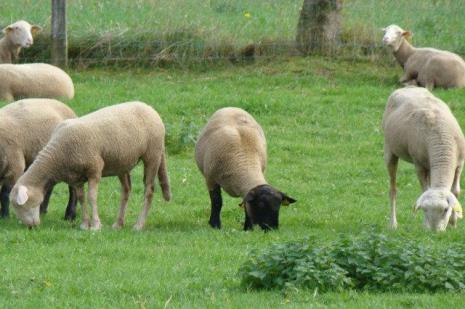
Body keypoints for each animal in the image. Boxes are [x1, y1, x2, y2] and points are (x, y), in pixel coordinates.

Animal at [8, 100, 170, 229]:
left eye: (20, 206)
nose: (31, 227)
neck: (57, 156)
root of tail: (149, 107)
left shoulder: (95, 169)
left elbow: (92, 197)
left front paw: (96, 225)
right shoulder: (76, 178)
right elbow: (81, 198)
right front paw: (85, 224)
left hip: (153, 154)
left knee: (149, 190)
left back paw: (138, 224)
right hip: (122, 162)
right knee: (126, 190)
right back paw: (118, 223)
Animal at [380, 86, 464, 231]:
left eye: (445, 210)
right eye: (424, 209)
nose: (435, 232)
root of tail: (408, 87)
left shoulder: (459, 165)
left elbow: (455, 192)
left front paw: (453, 223)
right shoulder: (419, 165)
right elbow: (424, 190)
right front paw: (426, 225)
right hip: (389, 150)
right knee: (393, 189)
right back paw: (393, 224)